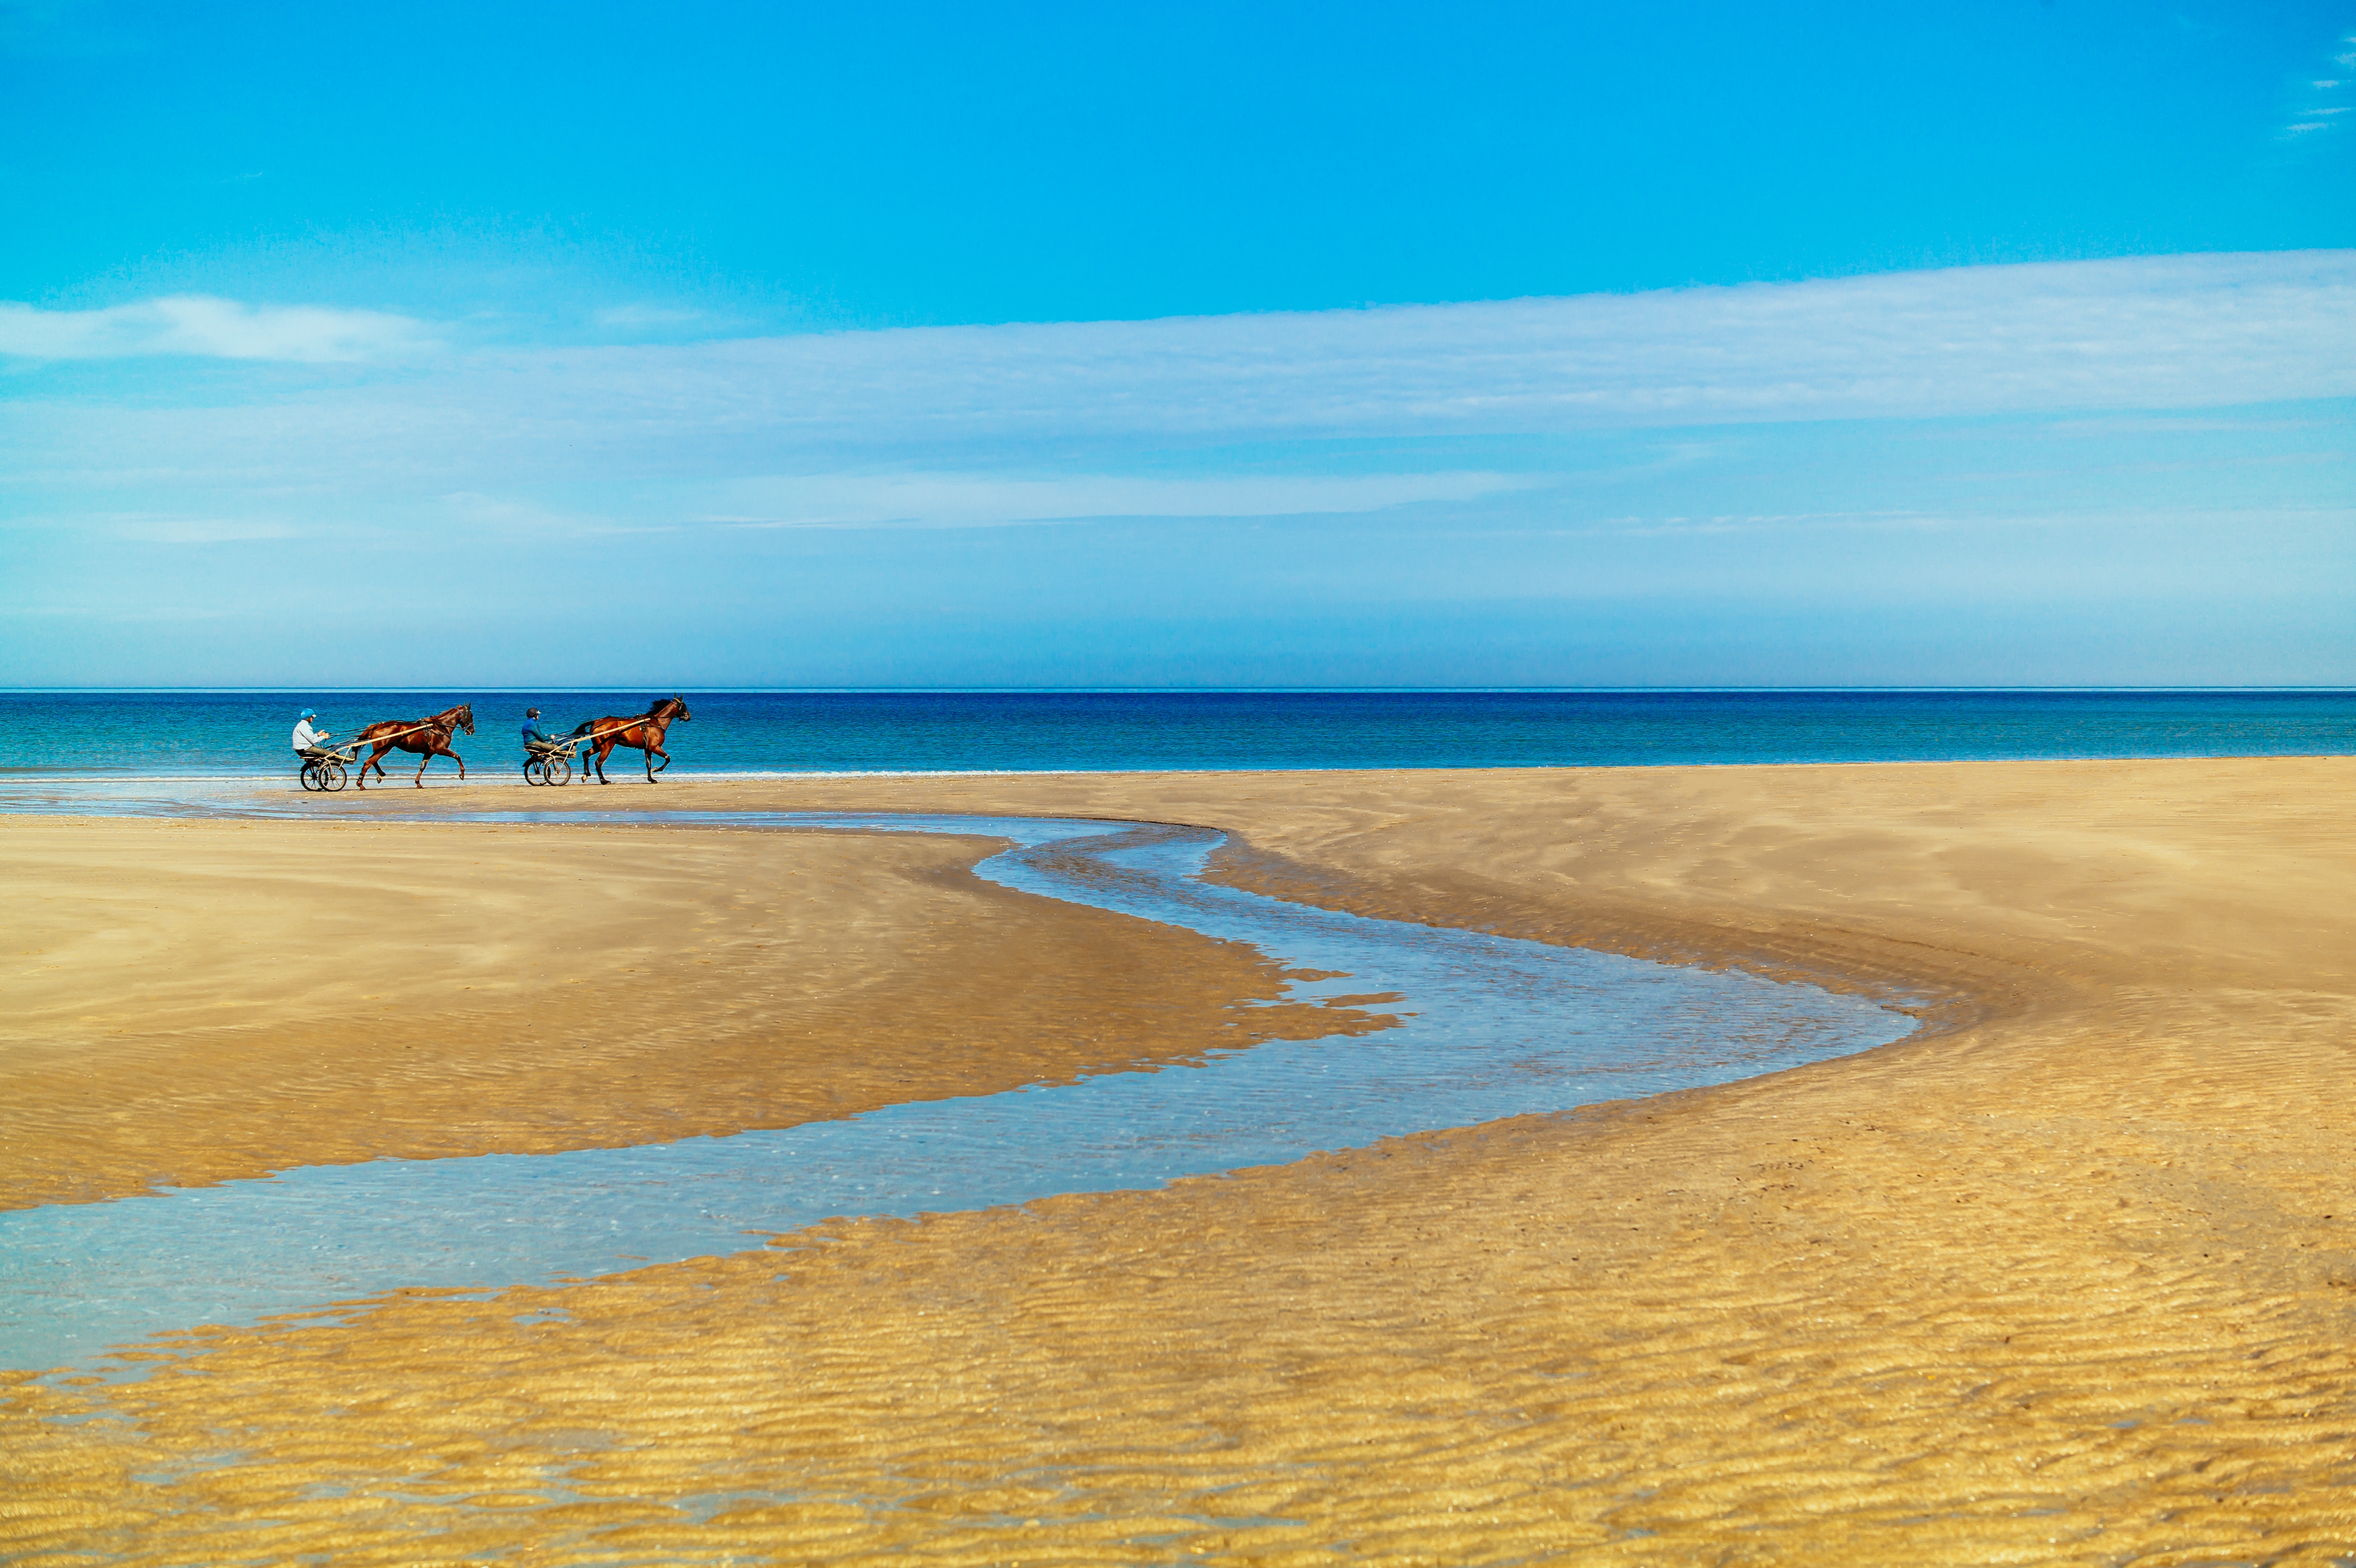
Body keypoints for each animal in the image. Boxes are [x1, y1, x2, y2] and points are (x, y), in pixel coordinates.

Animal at [353, 703, 475, 789]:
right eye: (471, 715)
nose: (472, 731)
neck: (440, 727)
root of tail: (378, 726)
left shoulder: (429, 752)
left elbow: (422, 767)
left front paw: (418, 783)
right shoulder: (441, 749)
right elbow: (457, 756)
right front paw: (462, 774)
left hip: (381, 749)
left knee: (373, 762)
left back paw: (379, 775)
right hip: (384, 749)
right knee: (369, 763)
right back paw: (361, 783)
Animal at [572, 695, 691, 783]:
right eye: (684, 705)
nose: (689, 716)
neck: (655, 722)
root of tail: (597, 722)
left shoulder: (648, 749)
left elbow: (648, 764)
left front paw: (651, 779)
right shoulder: (655, 747)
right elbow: (667, 758)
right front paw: (657, 769)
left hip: (598, 746)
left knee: (586, 754)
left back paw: (586, 775)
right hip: (607, 747)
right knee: (598, 763)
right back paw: (604, 781)